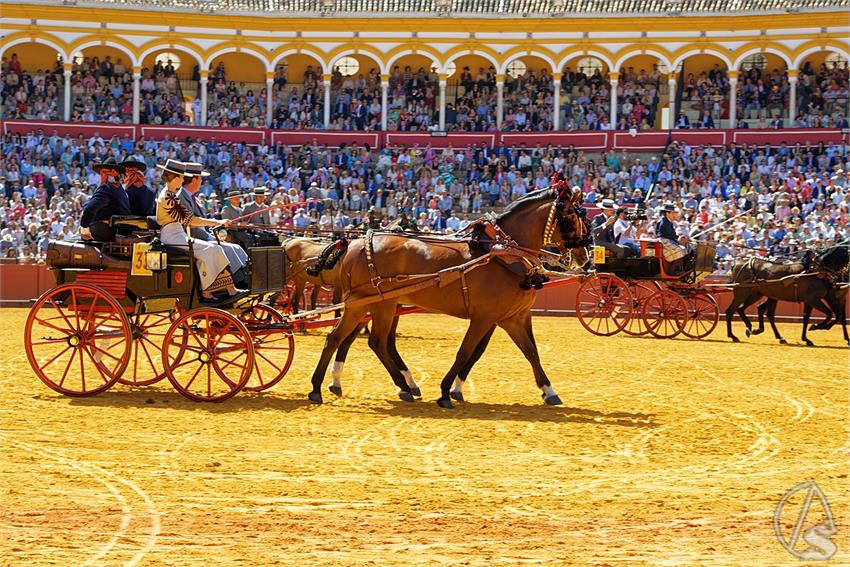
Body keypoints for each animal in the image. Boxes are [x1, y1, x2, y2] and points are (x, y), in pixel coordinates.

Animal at [304, 173, 588, 408]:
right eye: (573, 217)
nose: (584, 255)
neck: (503, 253)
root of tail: (354, 243)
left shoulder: (513, 317)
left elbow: (530, 351)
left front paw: (549, 390)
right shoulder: (484, 317)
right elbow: (466, 352)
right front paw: (445, 392)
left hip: (371, 304)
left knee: (346, 338)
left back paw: (330, 386)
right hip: (377, 303)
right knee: (369, 341)